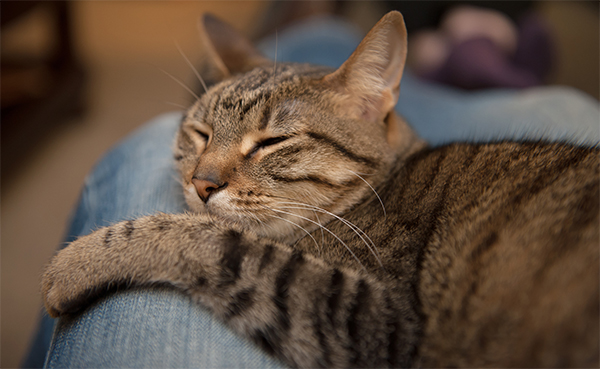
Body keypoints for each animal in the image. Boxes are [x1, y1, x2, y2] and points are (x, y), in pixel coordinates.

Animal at [39, 10, 596, 366]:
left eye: (271, 142)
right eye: (199, 133)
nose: (201, 183)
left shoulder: (373, 317)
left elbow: (206, 239)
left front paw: (76, 263)